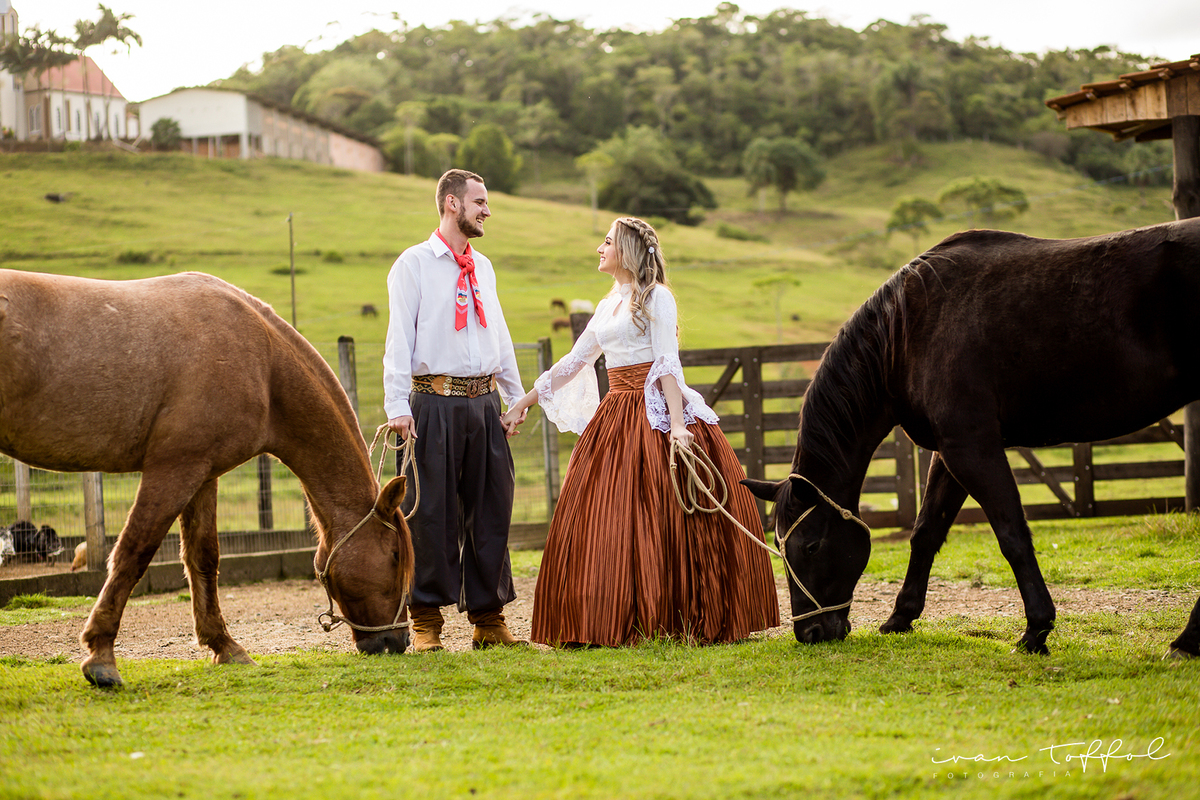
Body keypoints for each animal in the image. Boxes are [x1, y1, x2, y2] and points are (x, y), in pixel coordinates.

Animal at [0, 270, 415, 686]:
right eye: (395, 555)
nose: (399, 640)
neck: (264, 363)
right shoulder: (173, 469)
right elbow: (134, 552)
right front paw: (101, 656)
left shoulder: (202, 474)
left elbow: (203, 557)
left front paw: (224, 646)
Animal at [743, 217, 1200, 658]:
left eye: (811, 547)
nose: (810, 633)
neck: (906, 333)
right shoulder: (948, 454)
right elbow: (925, 532)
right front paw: (900, 617)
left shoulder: (971, 448)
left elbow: (1012, 535)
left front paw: (1036, 630)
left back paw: (1185, 641)